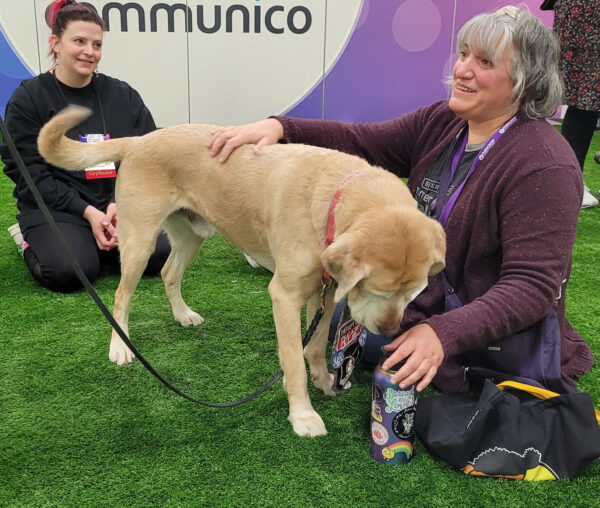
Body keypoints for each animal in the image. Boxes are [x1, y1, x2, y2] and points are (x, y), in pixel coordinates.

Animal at [36, 106, 440, 436]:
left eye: (414, 293)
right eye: (377, 290)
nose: (390, 331)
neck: (331, 200)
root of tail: (139, 140)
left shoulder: (323, 291)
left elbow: (314, 348)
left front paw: (326, 381)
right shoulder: (285, 295)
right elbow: (294, 360)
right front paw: (302, 415)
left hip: (191, 235)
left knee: (168, 274)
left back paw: (183, 315)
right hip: (139, 241)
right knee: (122, 295)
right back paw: (120, 347)